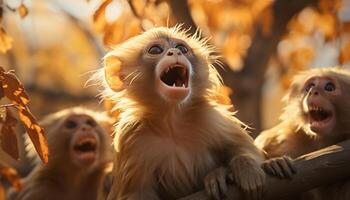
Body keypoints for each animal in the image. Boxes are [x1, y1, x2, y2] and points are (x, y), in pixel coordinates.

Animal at [91, 26, 266, 200]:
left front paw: (246, 167)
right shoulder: (130, 136)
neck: (172, 120)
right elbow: (137, 193)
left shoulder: (211, 117)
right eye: (155, 50)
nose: (175, 52)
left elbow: (247, 150)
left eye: (182, 48)